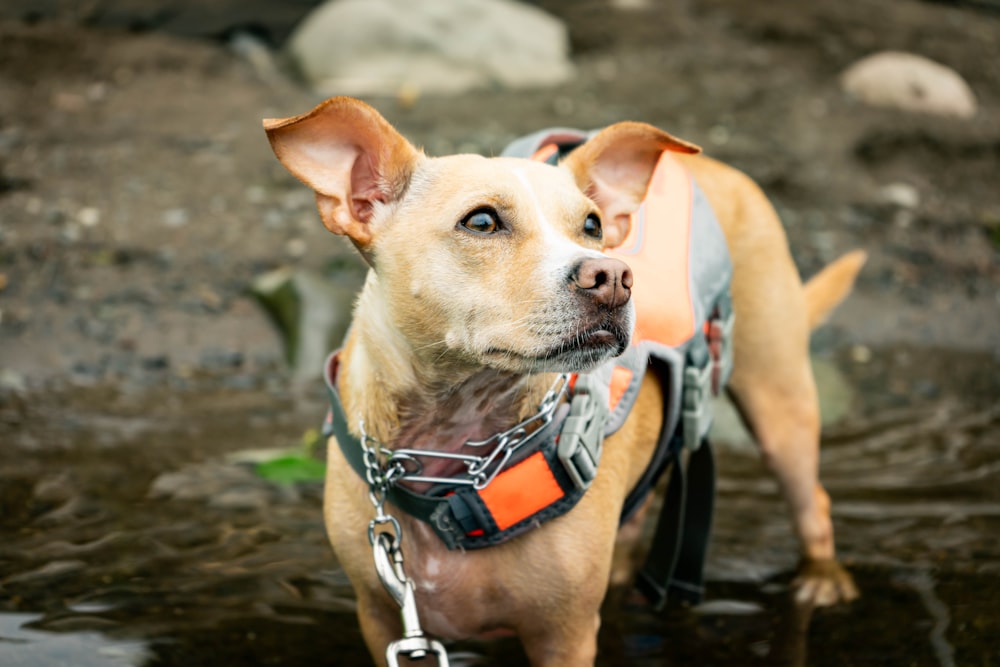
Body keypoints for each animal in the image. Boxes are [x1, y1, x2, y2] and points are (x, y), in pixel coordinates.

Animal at [262, 98, 864, 667]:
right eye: (481, 222)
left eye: (593, 226)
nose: (613, 276)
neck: (455, 450)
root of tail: (712, 164)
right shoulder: (383, 620)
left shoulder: (565, 635)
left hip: (778, 398)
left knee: (813, 503)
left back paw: (820, 582)